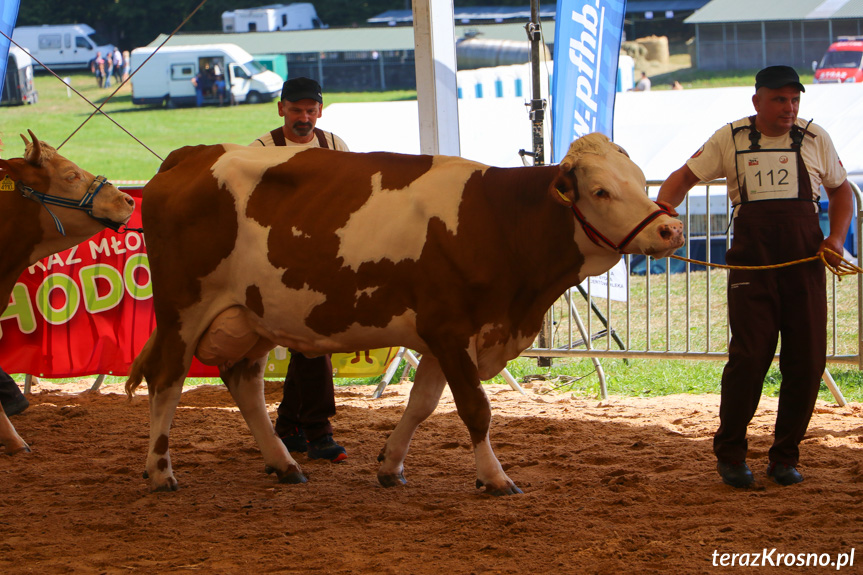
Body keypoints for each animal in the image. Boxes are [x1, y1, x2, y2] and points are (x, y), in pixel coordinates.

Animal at [126, 132, 680, 496]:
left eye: (639, 182)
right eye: (601, 190)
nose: (671, 229)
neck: (498, 220)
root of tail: (191, 155)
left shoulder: (443, 337)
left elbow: (421, 405)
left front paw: (390, 465)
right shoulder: (450, 328)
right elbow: (475, 409)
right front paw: (495, 477)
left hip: (254, 314)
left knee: (243, 382)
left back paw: (284, 465)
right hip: (182, 311)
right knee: (167, 380)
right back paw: (160, 472)